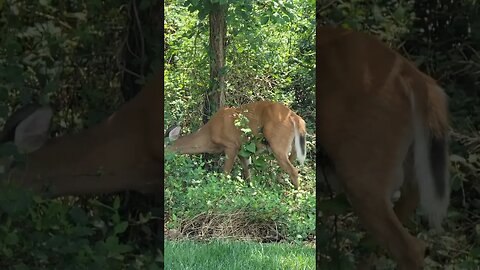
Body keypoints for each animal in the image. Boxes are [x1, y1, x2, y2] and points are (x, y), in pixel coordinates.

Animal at [165, 100, 308, 190]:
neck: (208, 135)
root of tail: (296, 118)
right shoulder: (242, 150)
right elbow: (248, 173)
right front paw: (251, 190)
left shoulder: (231, 145)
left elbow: (225, 173)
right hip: (292, 147)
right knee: (288, 165)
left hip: (278, 143)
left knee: (293, 170)